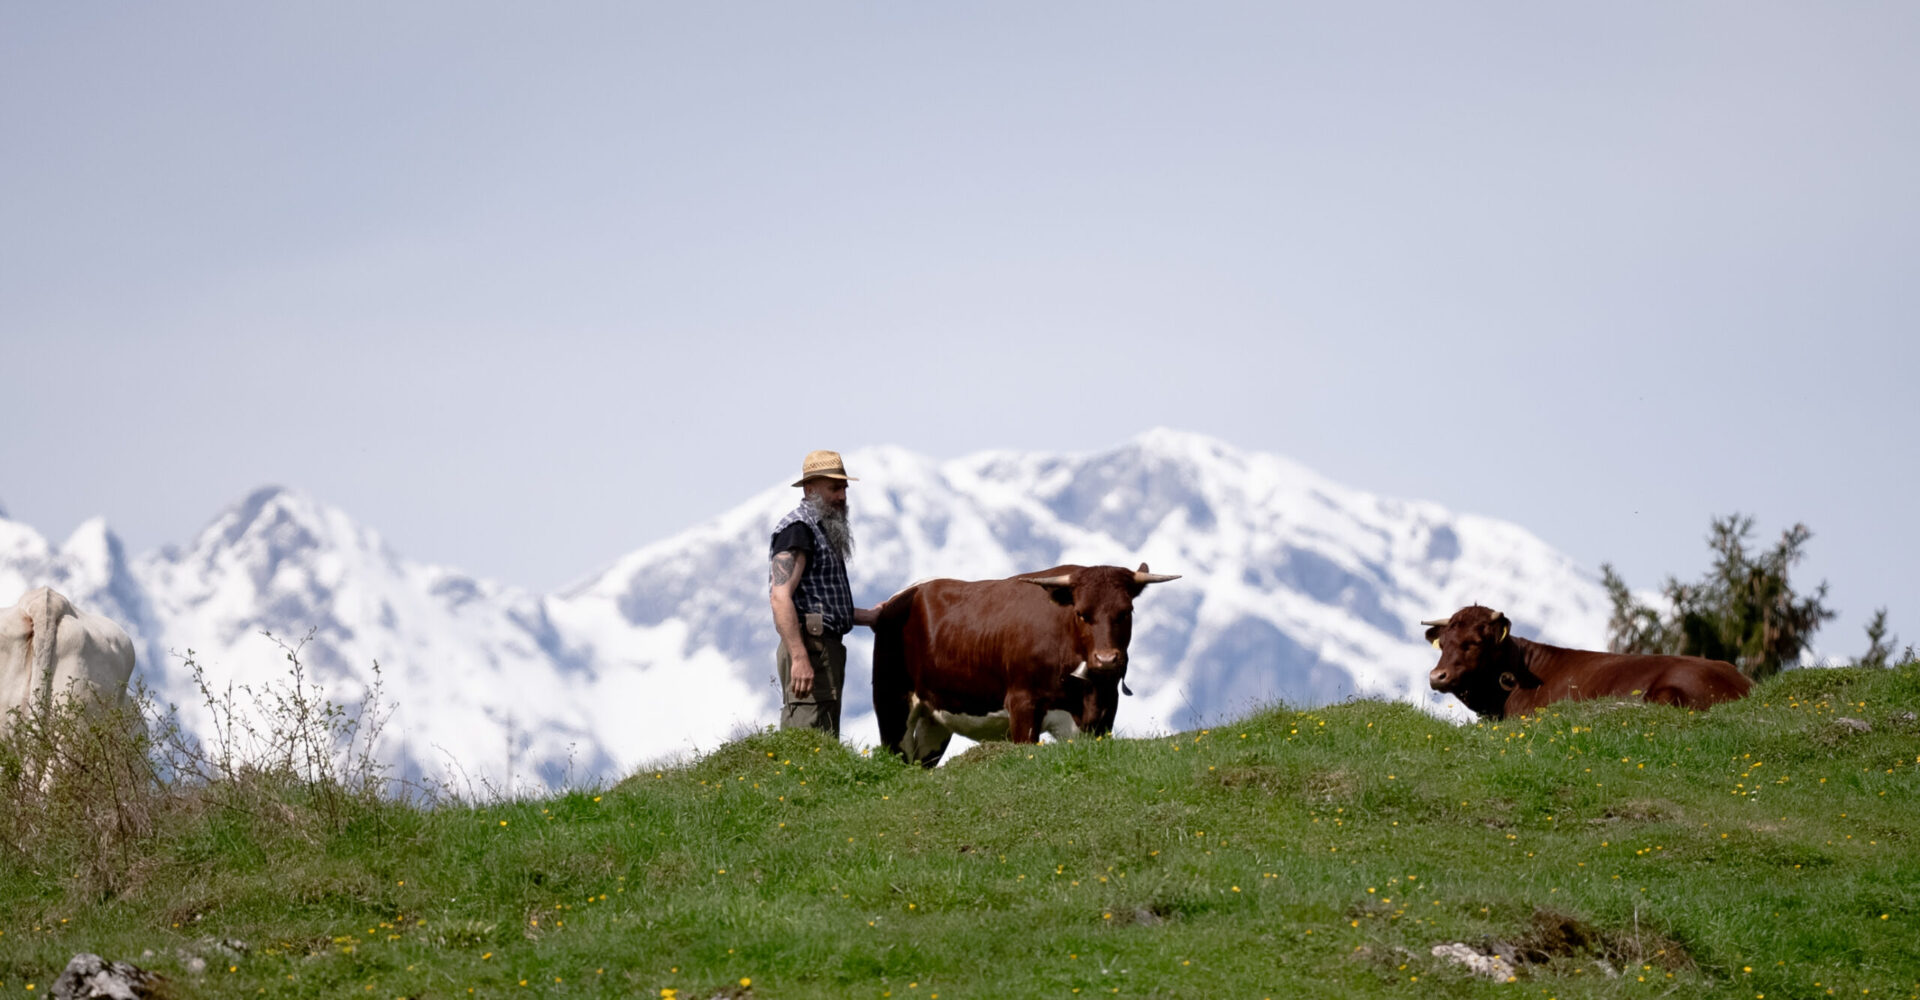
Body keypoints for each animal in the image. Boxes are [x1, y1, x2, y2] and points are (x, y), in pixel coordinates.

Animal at [879, 560, 1175, 763]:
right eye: (1081, 613)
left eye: (1126, 612)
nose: (1106, 659)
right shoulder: (1022, 705)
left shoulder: (1106, 709)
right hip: (894, 704)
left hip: (934, 719)